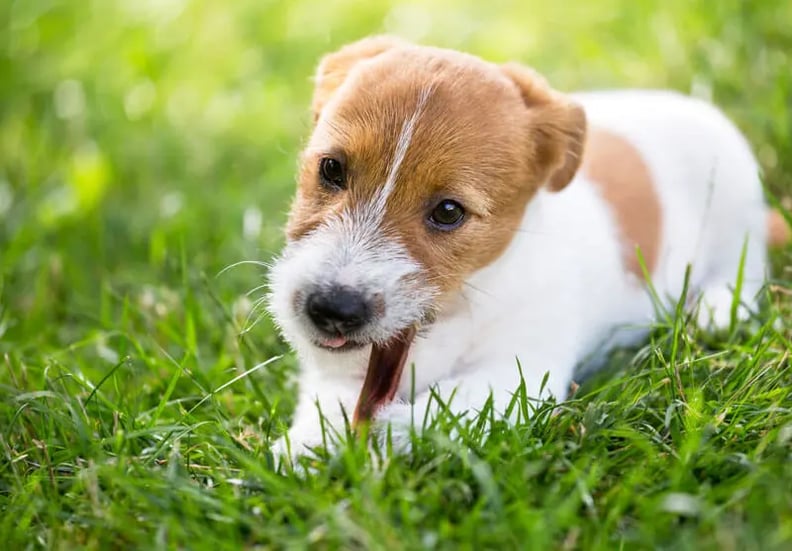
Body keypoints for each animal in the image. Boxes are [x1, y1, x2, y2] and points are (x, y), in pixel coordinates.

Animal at [268, 35, 792, 462]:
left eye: (448, 211)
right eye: (331, 169)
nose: (332, 309)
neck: (452, 313)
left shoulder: (521, 374)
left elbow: (453, 403)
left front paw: (393, 431)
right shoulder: (338, 370)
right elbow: (330, 398)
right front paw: (303, 446)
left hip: (735, 215)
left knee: (742, 270)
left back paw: (716, 308)